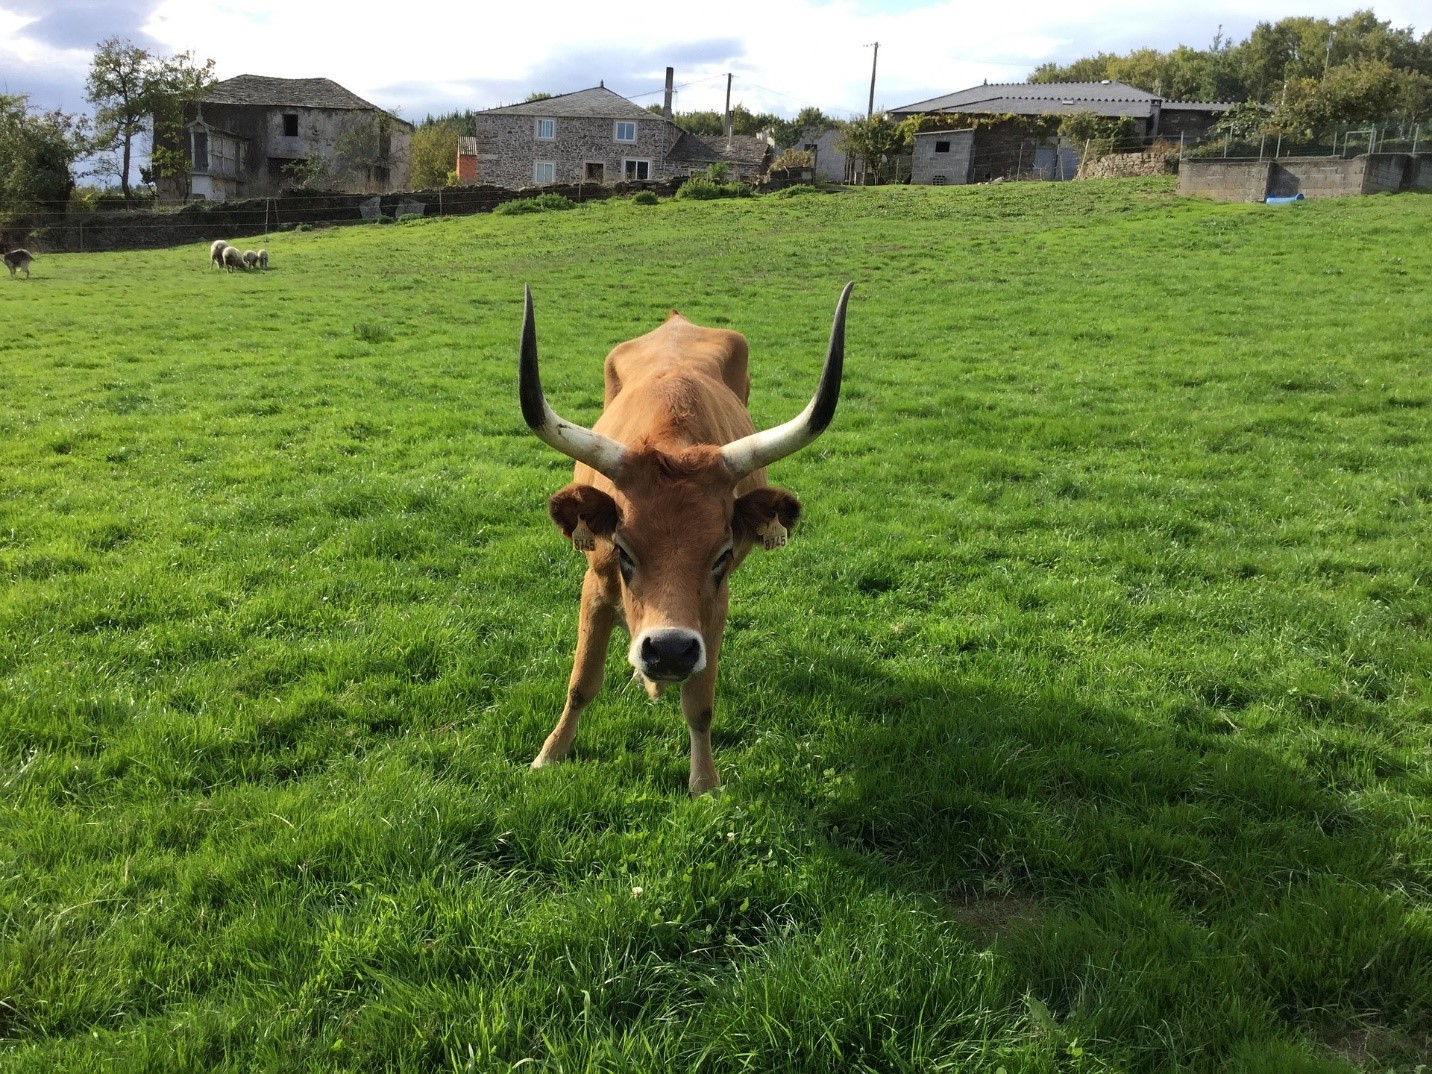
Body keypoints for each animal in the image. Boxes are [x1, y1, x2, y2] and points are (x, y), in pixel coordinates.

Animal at [521, 282, 847, 796]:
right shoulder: (594, 584)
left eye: (721, 555)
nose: (671, 649)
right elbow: (581, 683)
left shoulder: (716, 604)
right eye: (624, 550)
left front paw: (705, 781)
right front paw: (549, 755)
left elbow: (700, 703)